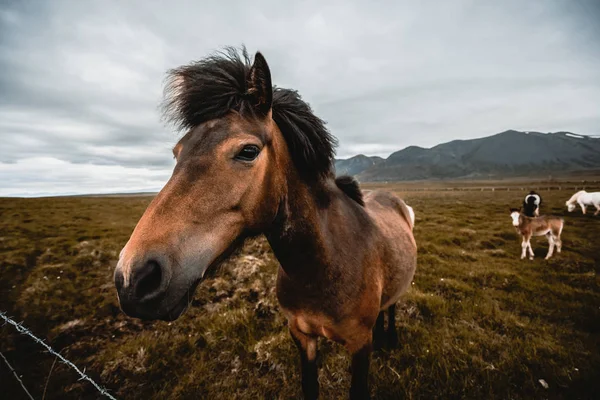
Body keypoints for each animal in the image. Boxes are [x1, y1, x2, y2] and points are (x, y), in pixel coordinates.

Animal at [112, 46, 418, 396]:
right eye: (177, 152)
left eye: (248, 151)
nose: (133, 278)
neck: (324, 263)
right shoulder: (301, 335)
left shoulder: (359, 344)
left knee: (391, 307)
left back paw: (390, 339)